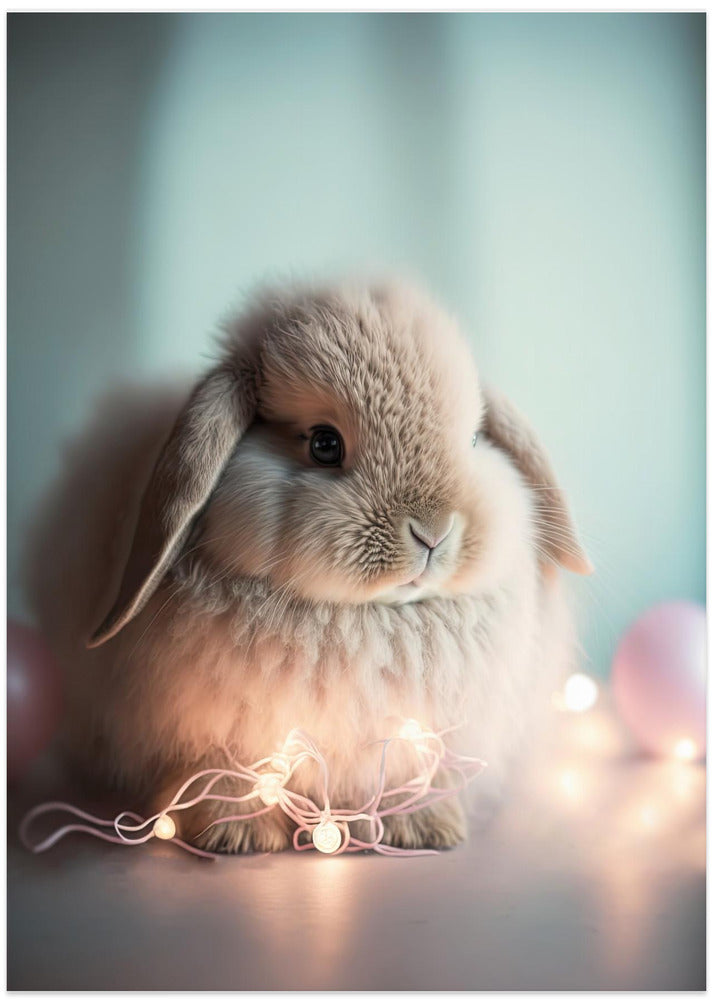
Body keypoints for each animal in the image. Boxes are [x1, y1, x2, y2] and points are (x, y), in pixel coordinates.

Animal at [25, 279, 591, 853]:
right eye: (324, 444)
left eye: (474, 440)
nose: (433, 532)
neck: (364, 619)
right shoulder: (216, 734)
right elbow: (228, 773)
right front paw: (236, 836)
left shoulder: (410, 736)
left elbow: (403, 771)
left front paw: (422, 828)